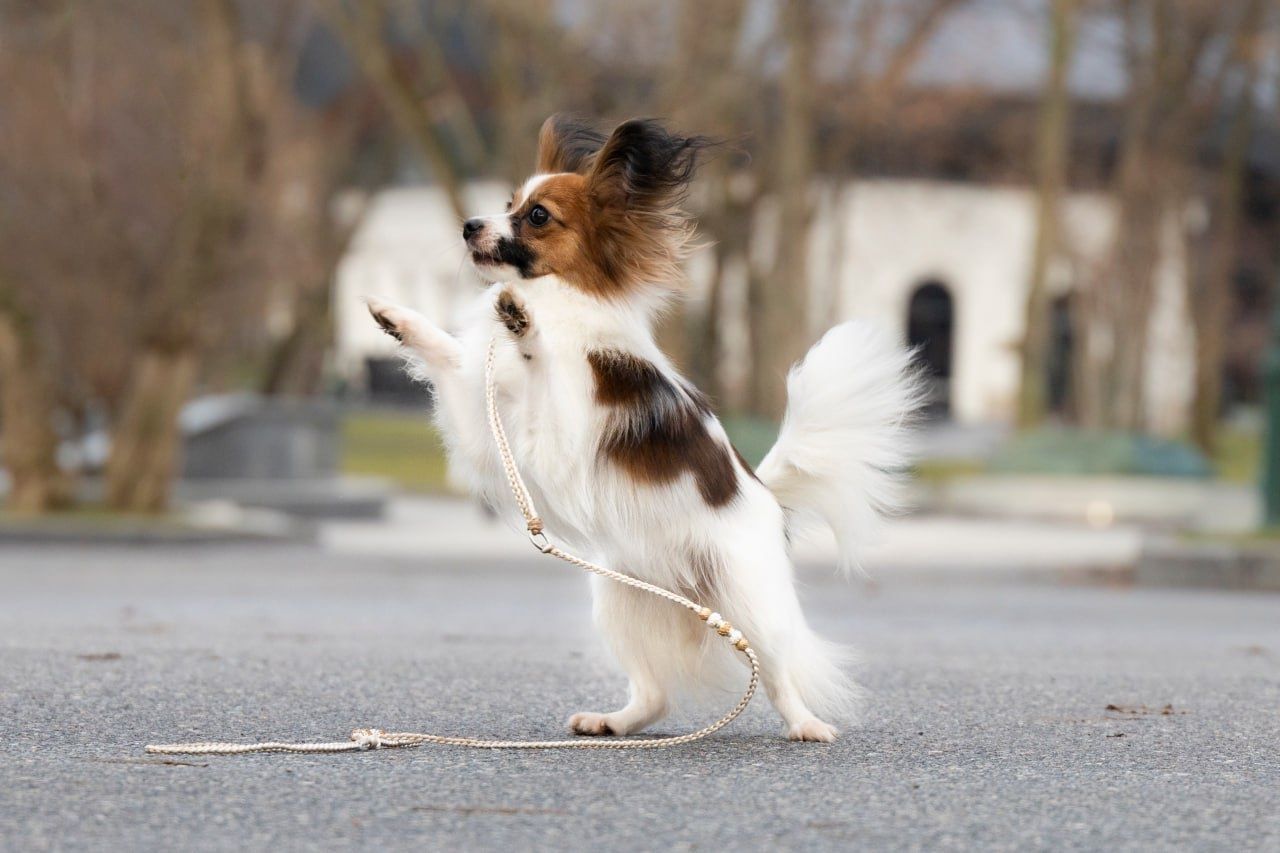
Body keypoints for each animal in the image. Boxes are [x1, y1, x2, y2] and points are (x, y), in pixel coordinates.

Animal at [366, 112, 916, 737]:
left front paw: (523, 323)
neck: (562, 305)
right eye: (507, 204)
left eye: (536, 216)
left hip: (749, 601)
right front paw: (397, 319)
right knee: (655, 696)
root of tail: (768, 495)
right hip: (619, 599)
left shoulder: (561, 437)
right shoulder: (482, 417)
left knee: (779, 674)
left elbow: (542, 363)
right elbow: (448, 354)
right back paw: (614, 722)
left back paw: (805, 724)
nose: (468, 225)